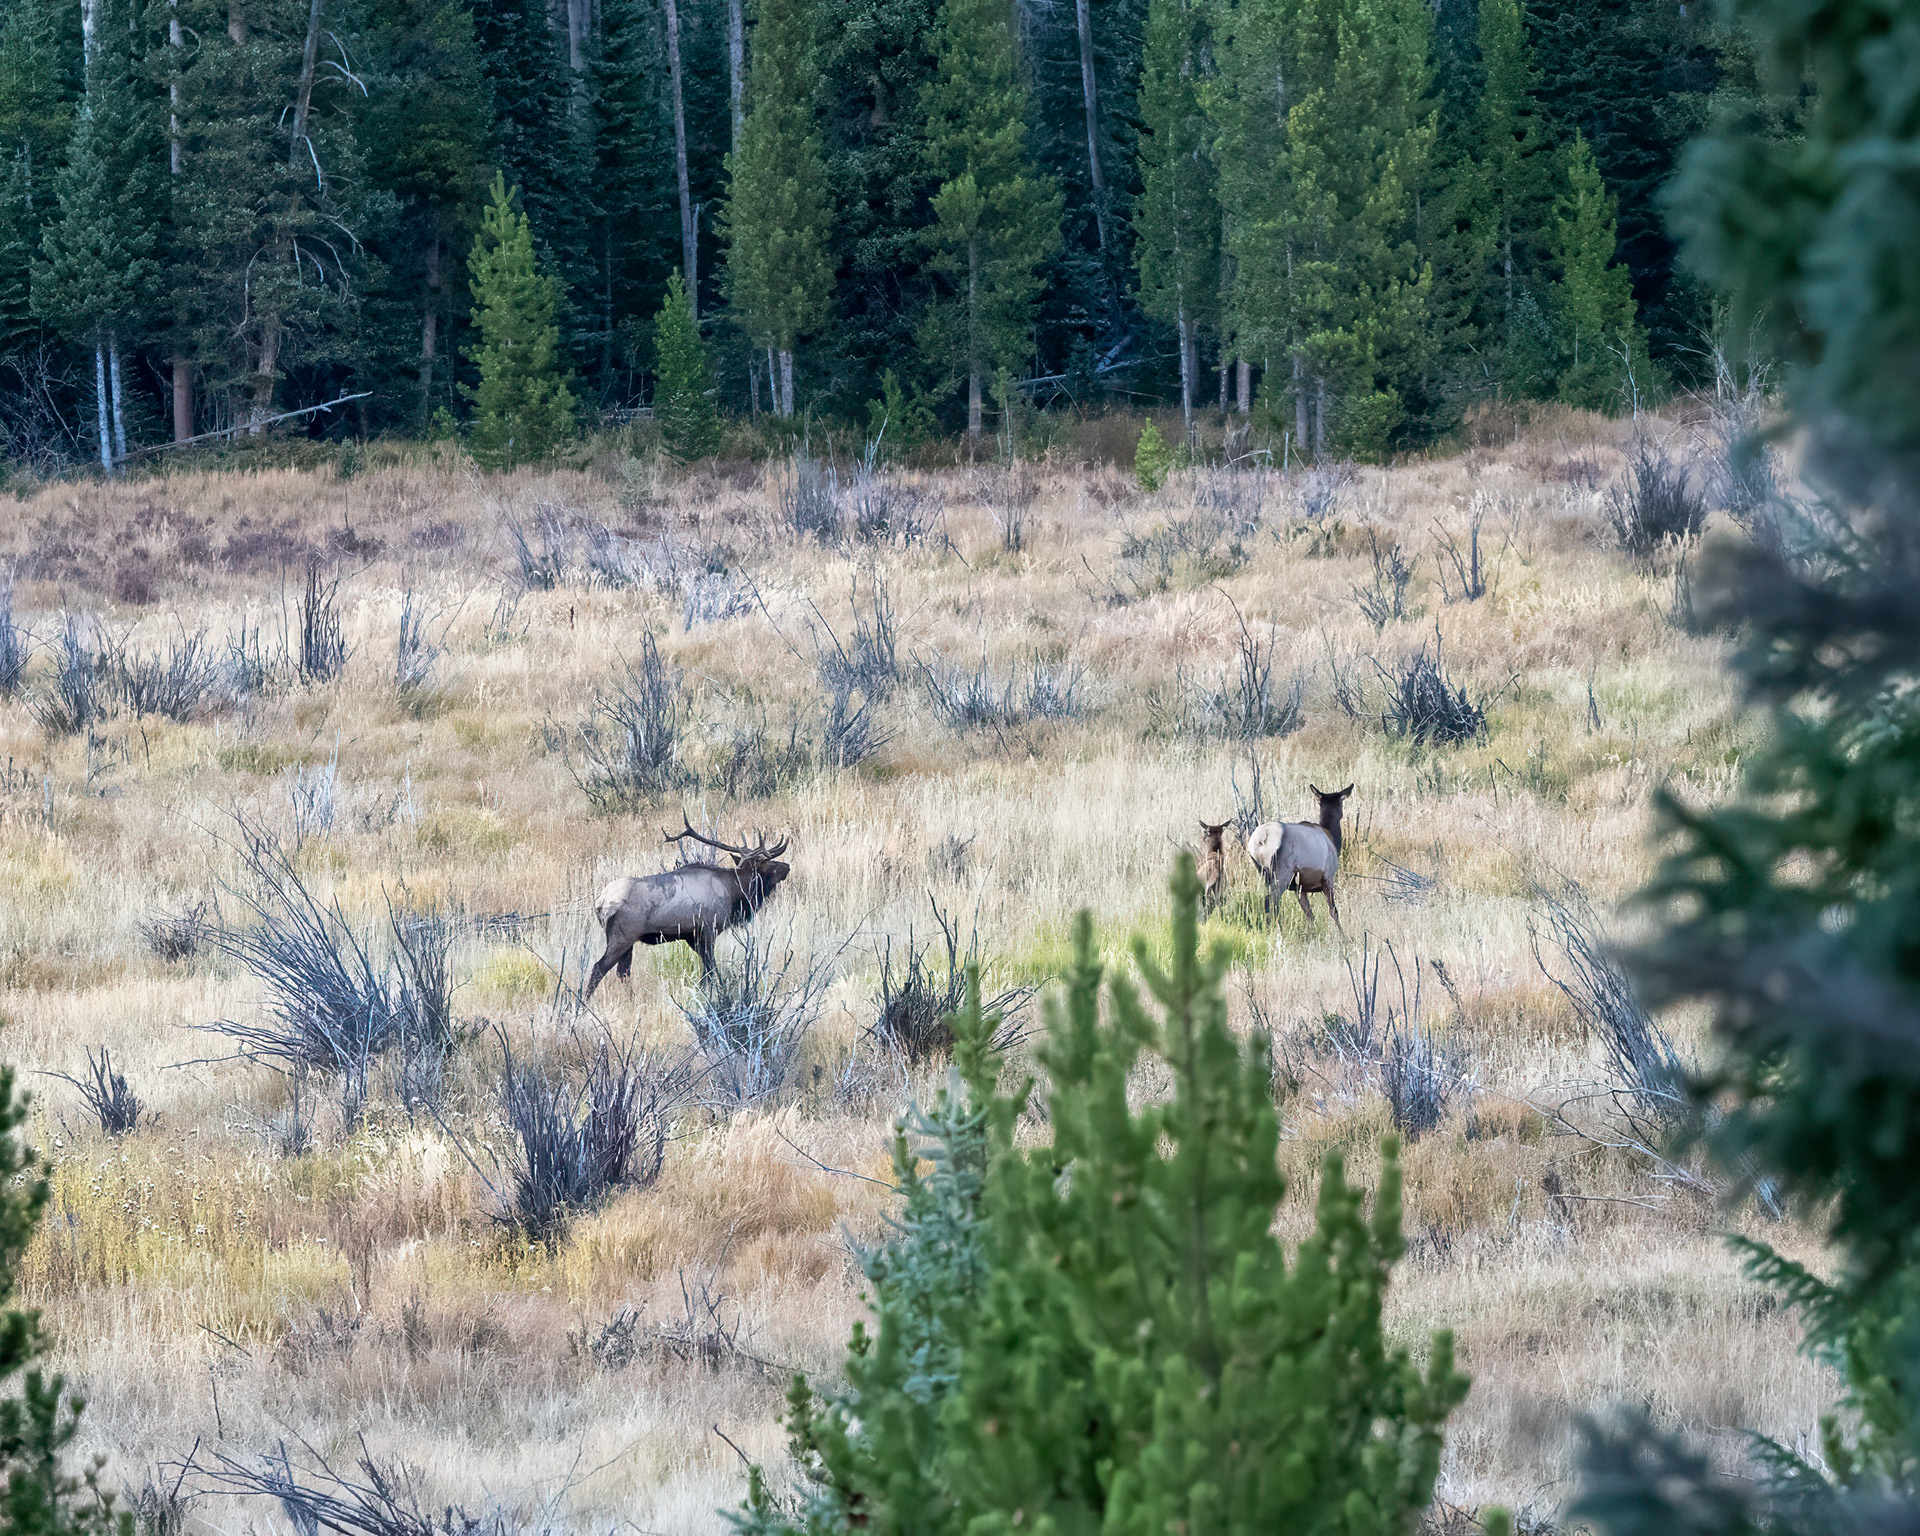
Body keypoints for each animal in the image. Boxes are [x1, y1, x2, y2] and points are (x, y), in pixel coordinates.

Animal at [583, 820, 792, 998]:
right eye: (769, 862)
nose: (787, 866)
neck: (734, 892)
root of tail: (600, 903)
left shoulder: (692, 936)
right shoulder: (708, 929)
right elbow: (710, 969)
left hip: (629, 940)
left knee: (623, 972)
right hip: (622, 935)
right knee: (599, 968)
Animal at [1244, 783, 1352, 930]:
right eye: (1341, 803)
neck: (1334, 840)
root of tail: (1262, 838)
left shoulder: (1300, 887)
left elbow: (1309, 913)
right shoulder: (1328, 877)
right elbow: (1333, 911)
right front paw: (1343, 934)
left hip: (1263, 872)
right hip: (1282, 872)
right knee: (1271, 902)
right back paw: (1277, 928)